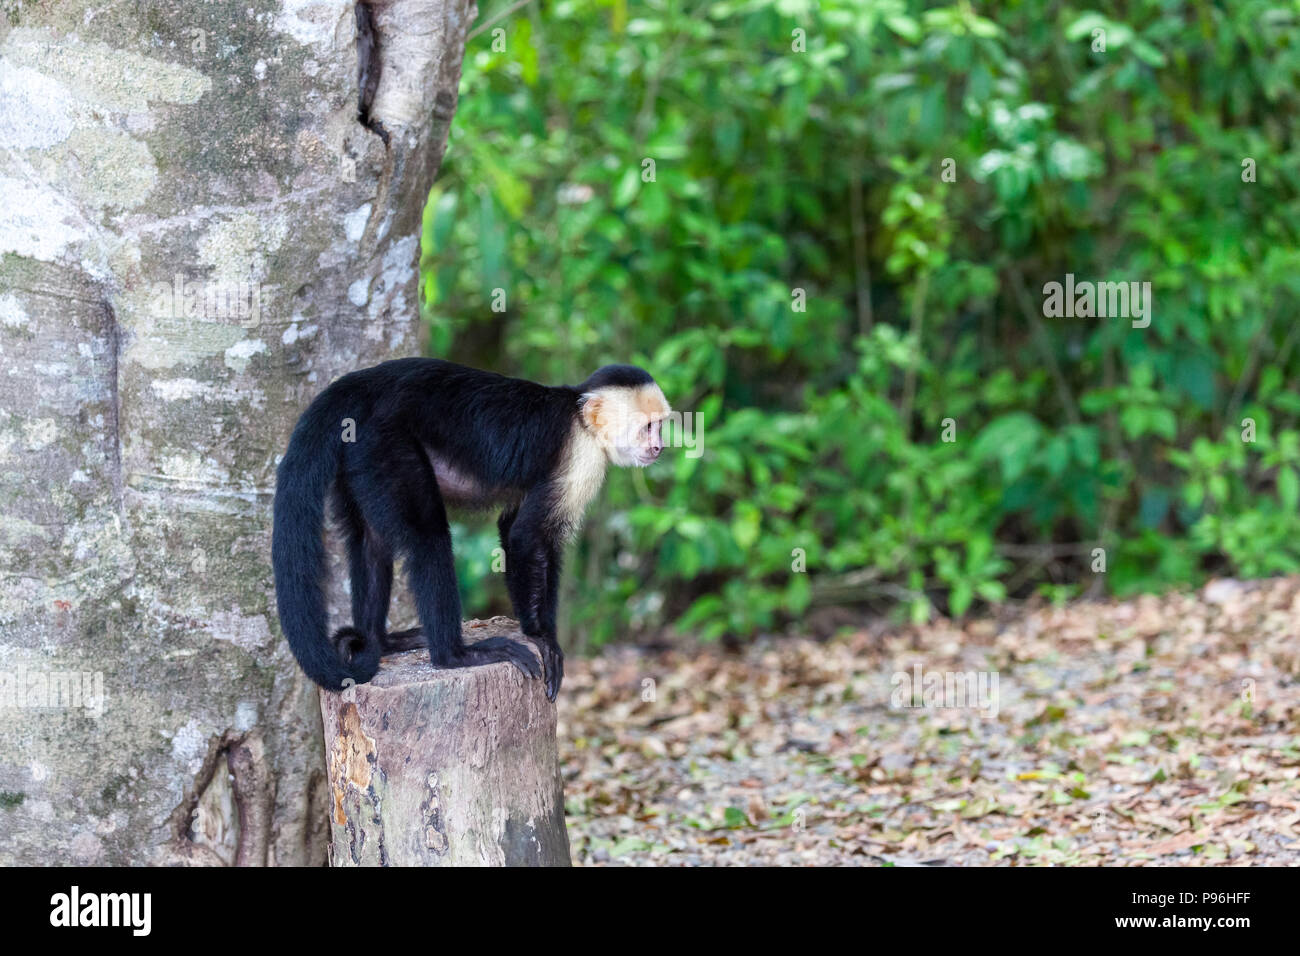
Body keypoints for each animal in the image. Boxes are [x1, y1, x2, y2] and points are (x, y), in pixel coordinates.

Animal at [271, 358, 671, 701]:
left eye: (660, 425)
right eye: (648, 426)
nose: (659, 447)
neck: (580, 417)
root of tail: (367, 382)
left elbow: (512, 528)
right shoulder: (580, 458)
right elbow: (527, 537)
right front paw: (542, 637)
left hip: (358, 448)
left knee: (372, 540)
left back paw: (381, 642)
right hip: (385, 438)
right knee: (428, 536)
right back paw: (454, 655)